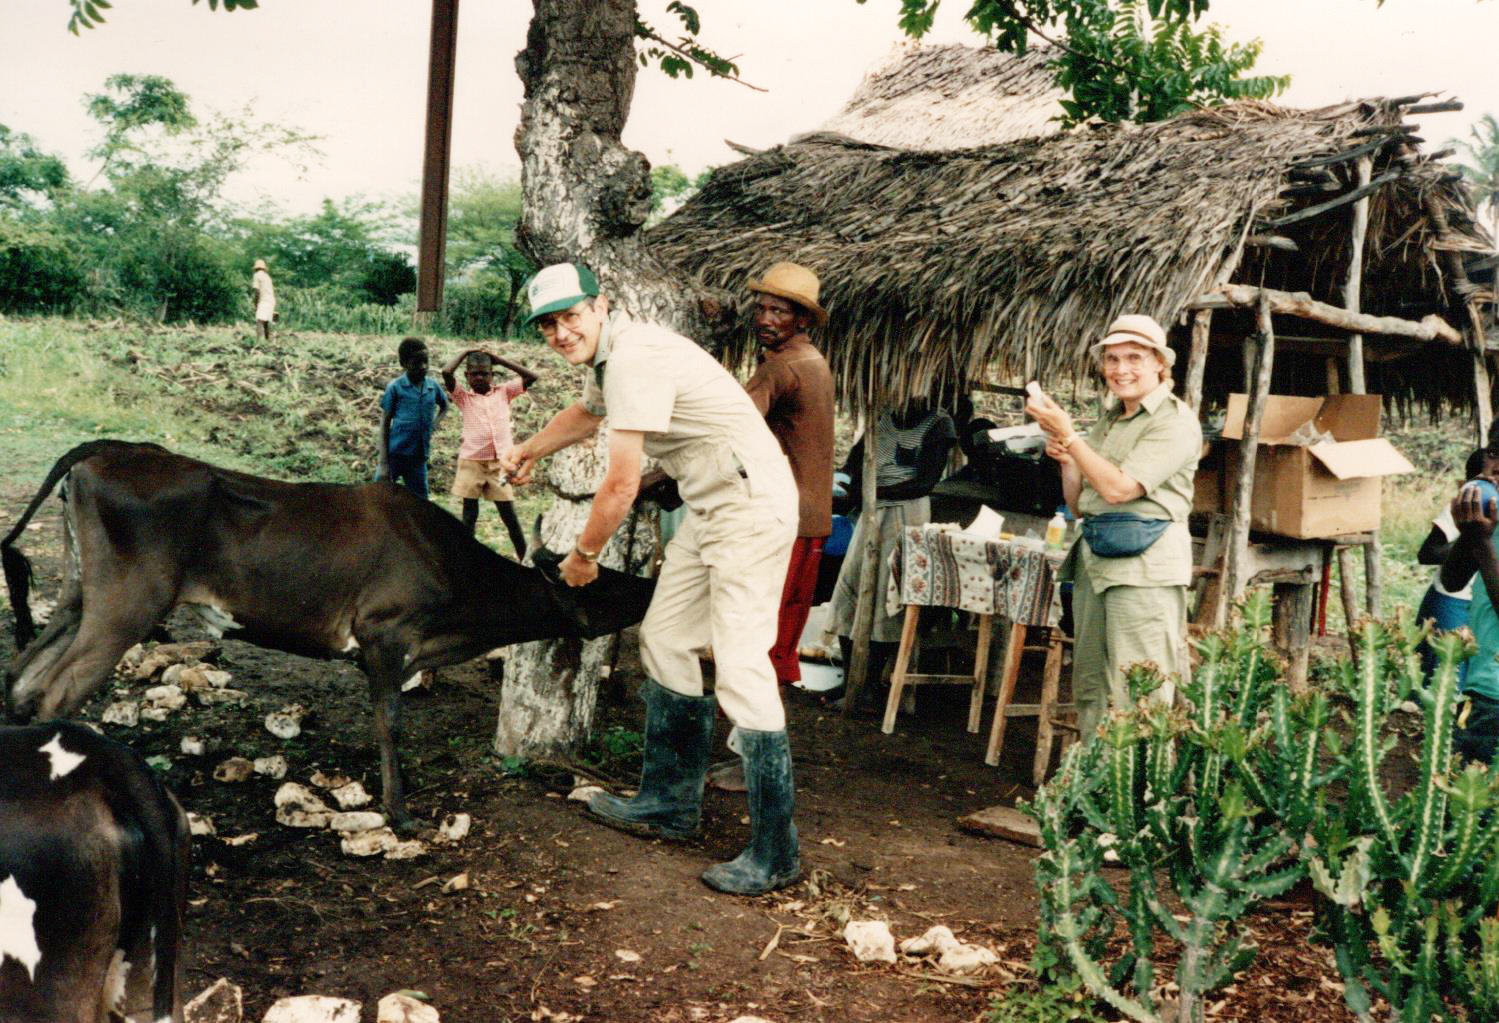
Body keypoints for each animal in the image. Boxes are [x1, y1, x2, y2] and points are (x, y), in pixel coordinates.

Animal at [2, 438, 653, 822]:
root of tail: (101, 453)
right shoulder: (386, 635)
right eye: (603, 583)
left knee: (21, 676)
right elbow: (389, 723)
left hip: (79, 595)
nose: (650, 588)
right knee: (54, 692)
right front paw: (399, 810)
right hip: (126, 606)